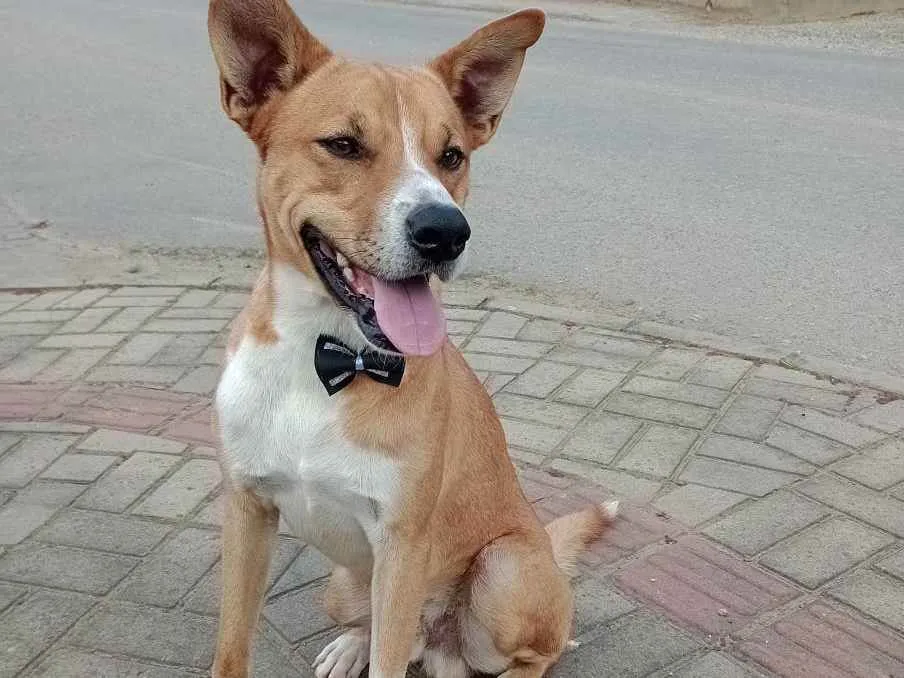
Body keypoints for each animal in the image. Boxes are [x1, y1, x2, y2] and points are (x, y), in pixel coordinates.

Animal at [208, 2, 617, 677]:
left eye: (451, 155)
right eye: (343, 145)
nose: (445, 231)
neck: (321, 358)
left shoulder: (402, 545)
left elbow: (390, 660)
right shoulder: (247, 511)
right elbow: (230, 649)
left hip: (503, 569)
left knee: (543, 648)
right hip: (343, 583)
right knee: (378, 627)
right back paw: (353, 644)